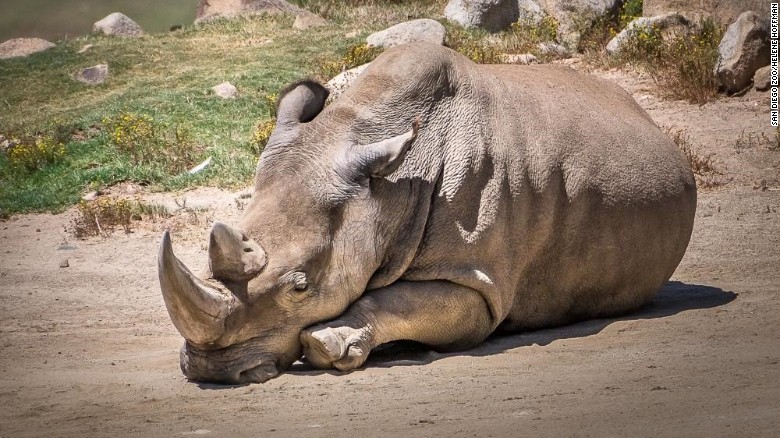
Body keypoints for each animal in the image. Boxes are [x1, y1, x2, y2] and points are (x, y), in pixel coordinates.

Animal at [157, 42, 696, 384]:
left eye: (300, 288)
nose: (211, 371)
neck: (386, 191)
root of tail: (649, 118)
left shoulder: (476, 283)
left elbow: (402, 302)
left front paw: (330, 343)